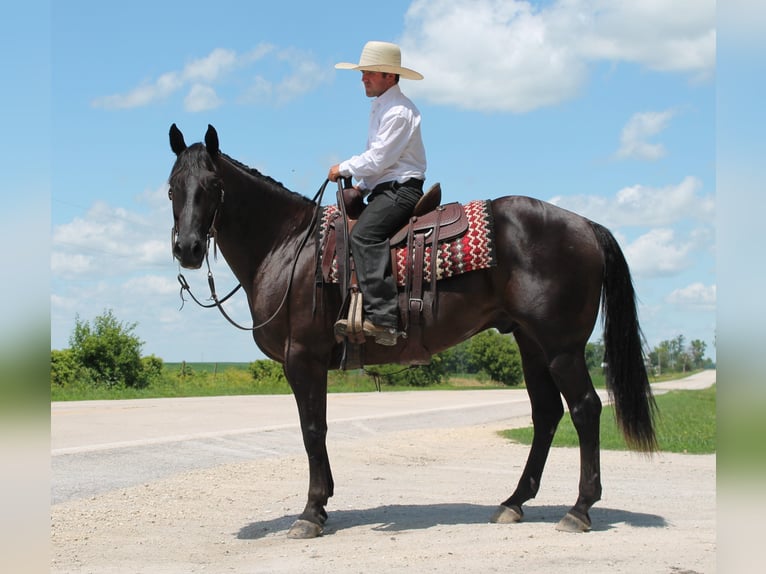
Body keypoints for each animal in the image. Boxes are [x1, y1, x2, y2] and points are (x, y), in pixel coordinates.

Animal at [170, 125, 660, 540]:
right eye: (173, 187)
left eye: (213, 187)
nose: (187, 249)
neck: (289, 247)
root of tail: (586, 226)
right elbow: (319, 429)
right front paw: (323, 504)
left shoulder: (303, 358)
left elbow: (312, 429)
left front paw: (310, 512)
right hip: (531, 344)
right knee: (546, 414)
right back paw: (513, 502)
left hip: (562, 347)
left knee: (585, 409)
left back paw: (579, 509)